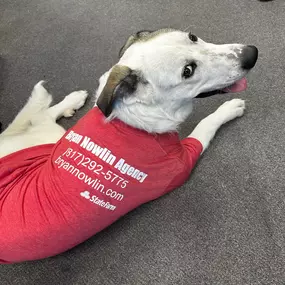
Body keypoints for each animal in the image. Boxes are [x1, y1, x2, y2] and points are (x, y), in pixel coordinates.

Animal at [0, 28, 258, 262]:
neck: (135, 118)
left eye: (193, 37)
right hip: (49, 136)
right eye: (188, 71)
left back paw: (74, 100)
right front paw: (228, 109)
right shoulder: (181, 164)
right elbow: (206, 125)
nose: (252, 54)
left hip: (53, 140)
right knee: (38, 117)